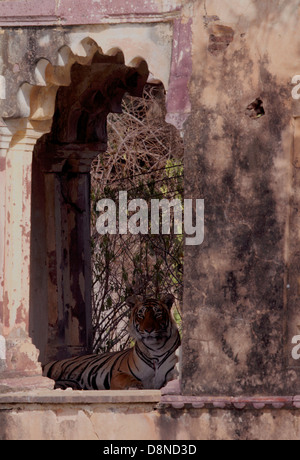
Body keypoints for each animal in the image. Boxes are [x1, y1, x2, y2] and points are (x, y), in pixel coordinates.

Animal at [42, 292, 180, 390]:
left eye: (157, 314)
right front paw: (136, 386)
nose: (148, 330)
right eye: (141, 315)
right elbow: (129, 380)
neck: (155, 349)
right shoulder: (119, 374)